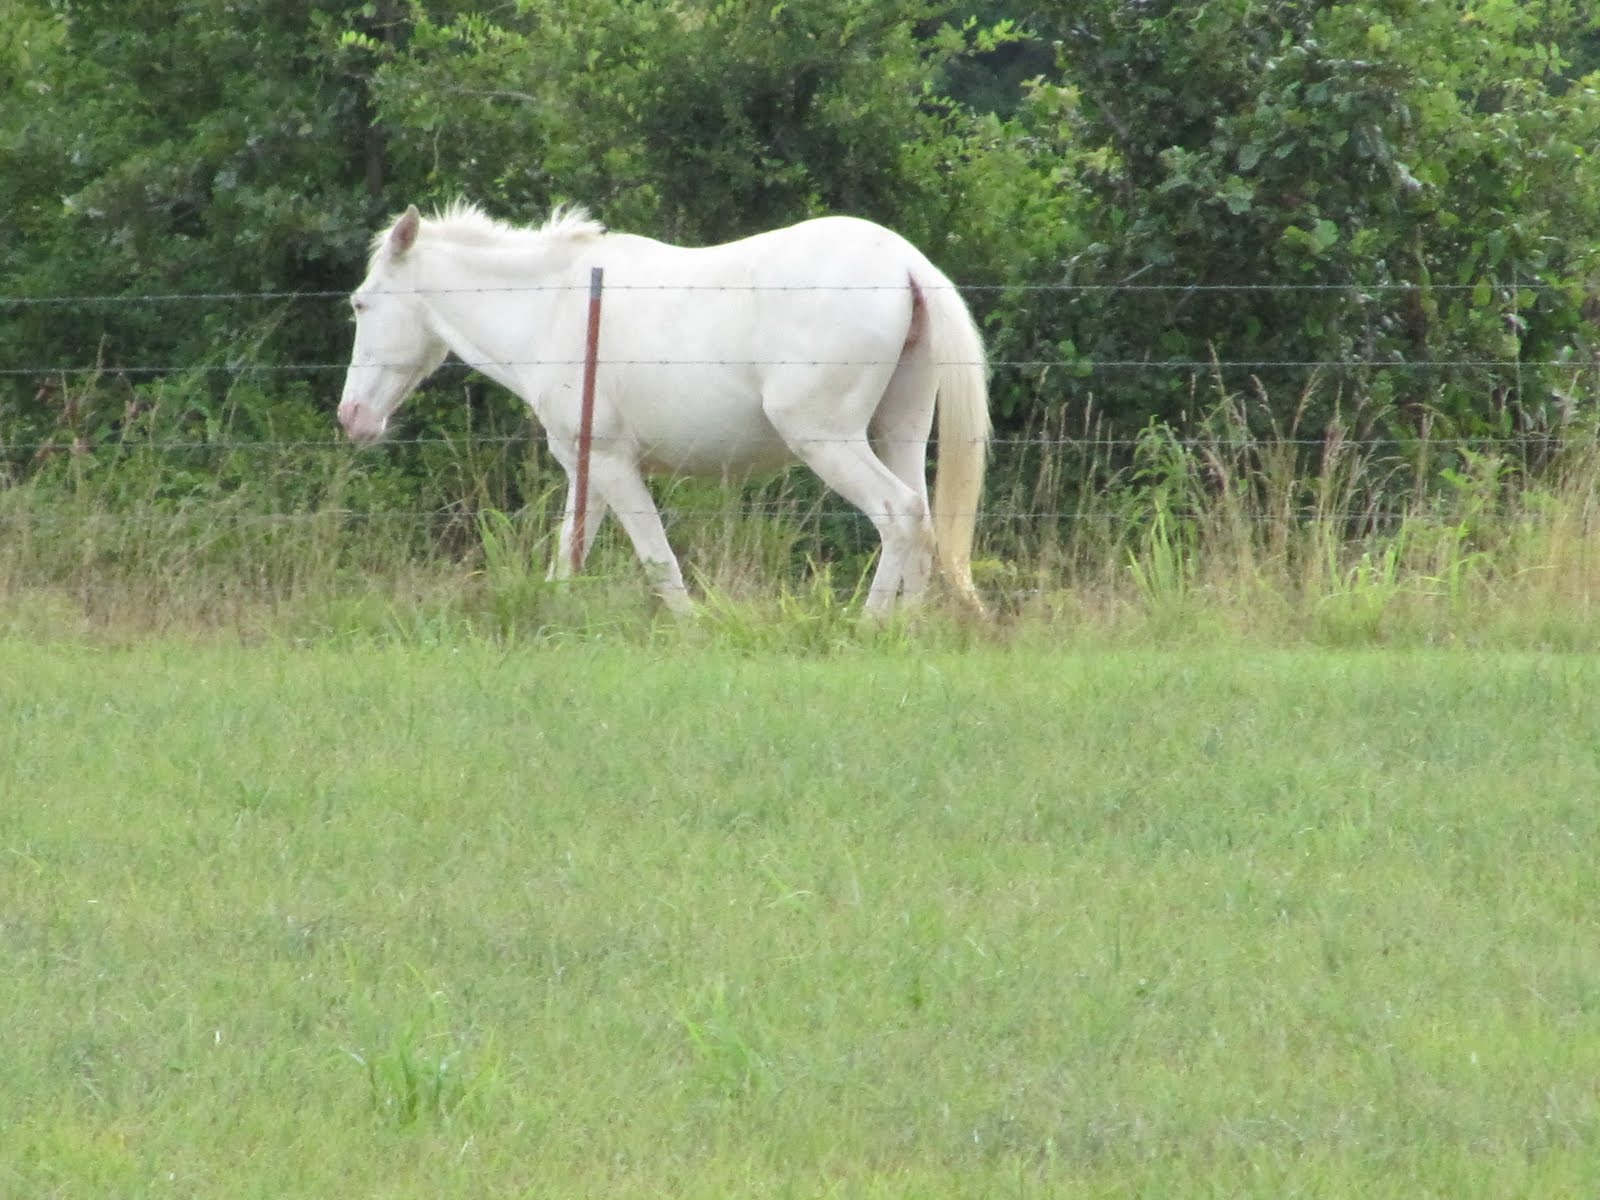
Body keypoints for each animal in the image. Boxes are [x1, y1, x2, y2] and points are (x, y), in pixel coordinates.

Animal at [336, 201, 991, 616]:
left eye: (361, 304)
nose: (351, 417)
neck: (553, 305)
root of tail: (906, 263)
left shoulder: (613, 465)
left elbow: (657, 560)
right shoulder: (590, 472)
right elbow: (568, 555)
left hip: (828, 441)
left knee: (898, 514)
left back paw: (871, 626)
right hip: (899, 433)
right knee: (923, 523)